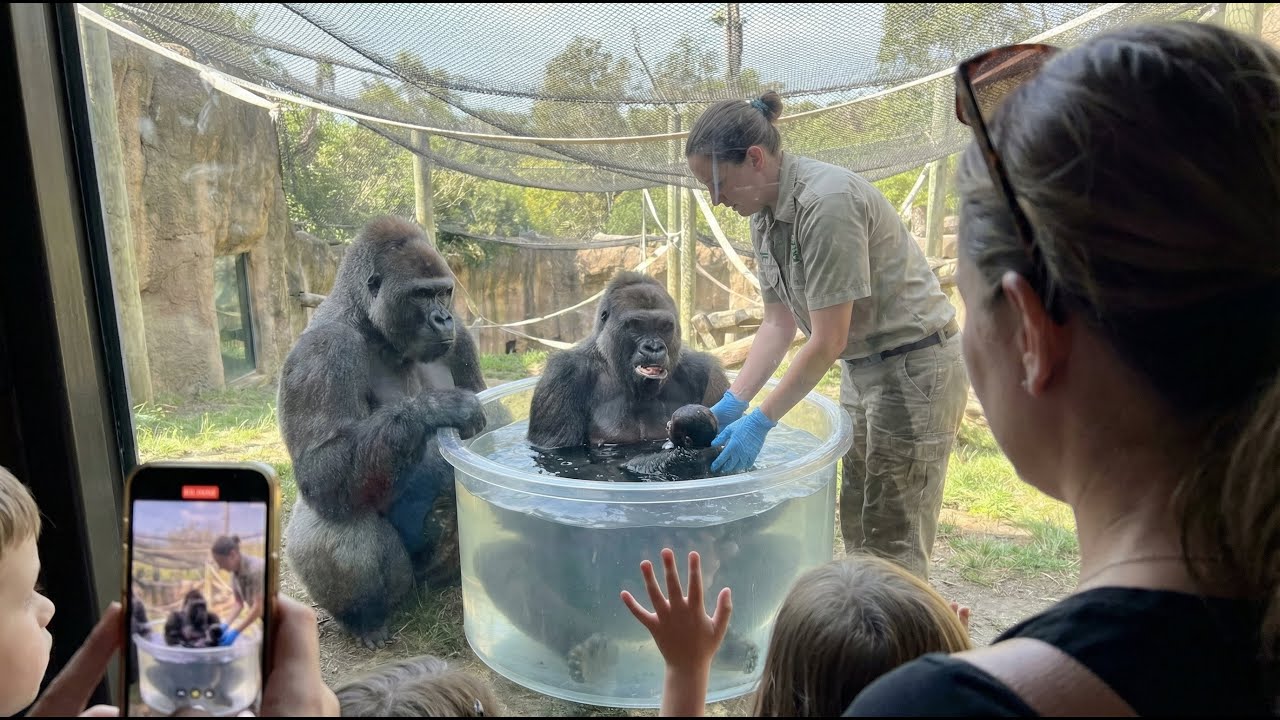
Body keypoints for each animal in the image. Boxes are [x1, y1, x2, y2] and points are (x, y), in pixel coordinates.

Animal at [278, 215, 488, 650]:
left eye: (443, 293)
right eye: (421, 295)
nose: (442, 318)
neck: (369, 323)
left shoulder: (461, 337)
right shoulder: (323, 350)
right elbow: (320, 469)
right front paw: (435, 409)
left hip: (437, 578)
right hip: (401, 587)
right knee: (336, 520)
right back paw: (366, 618)